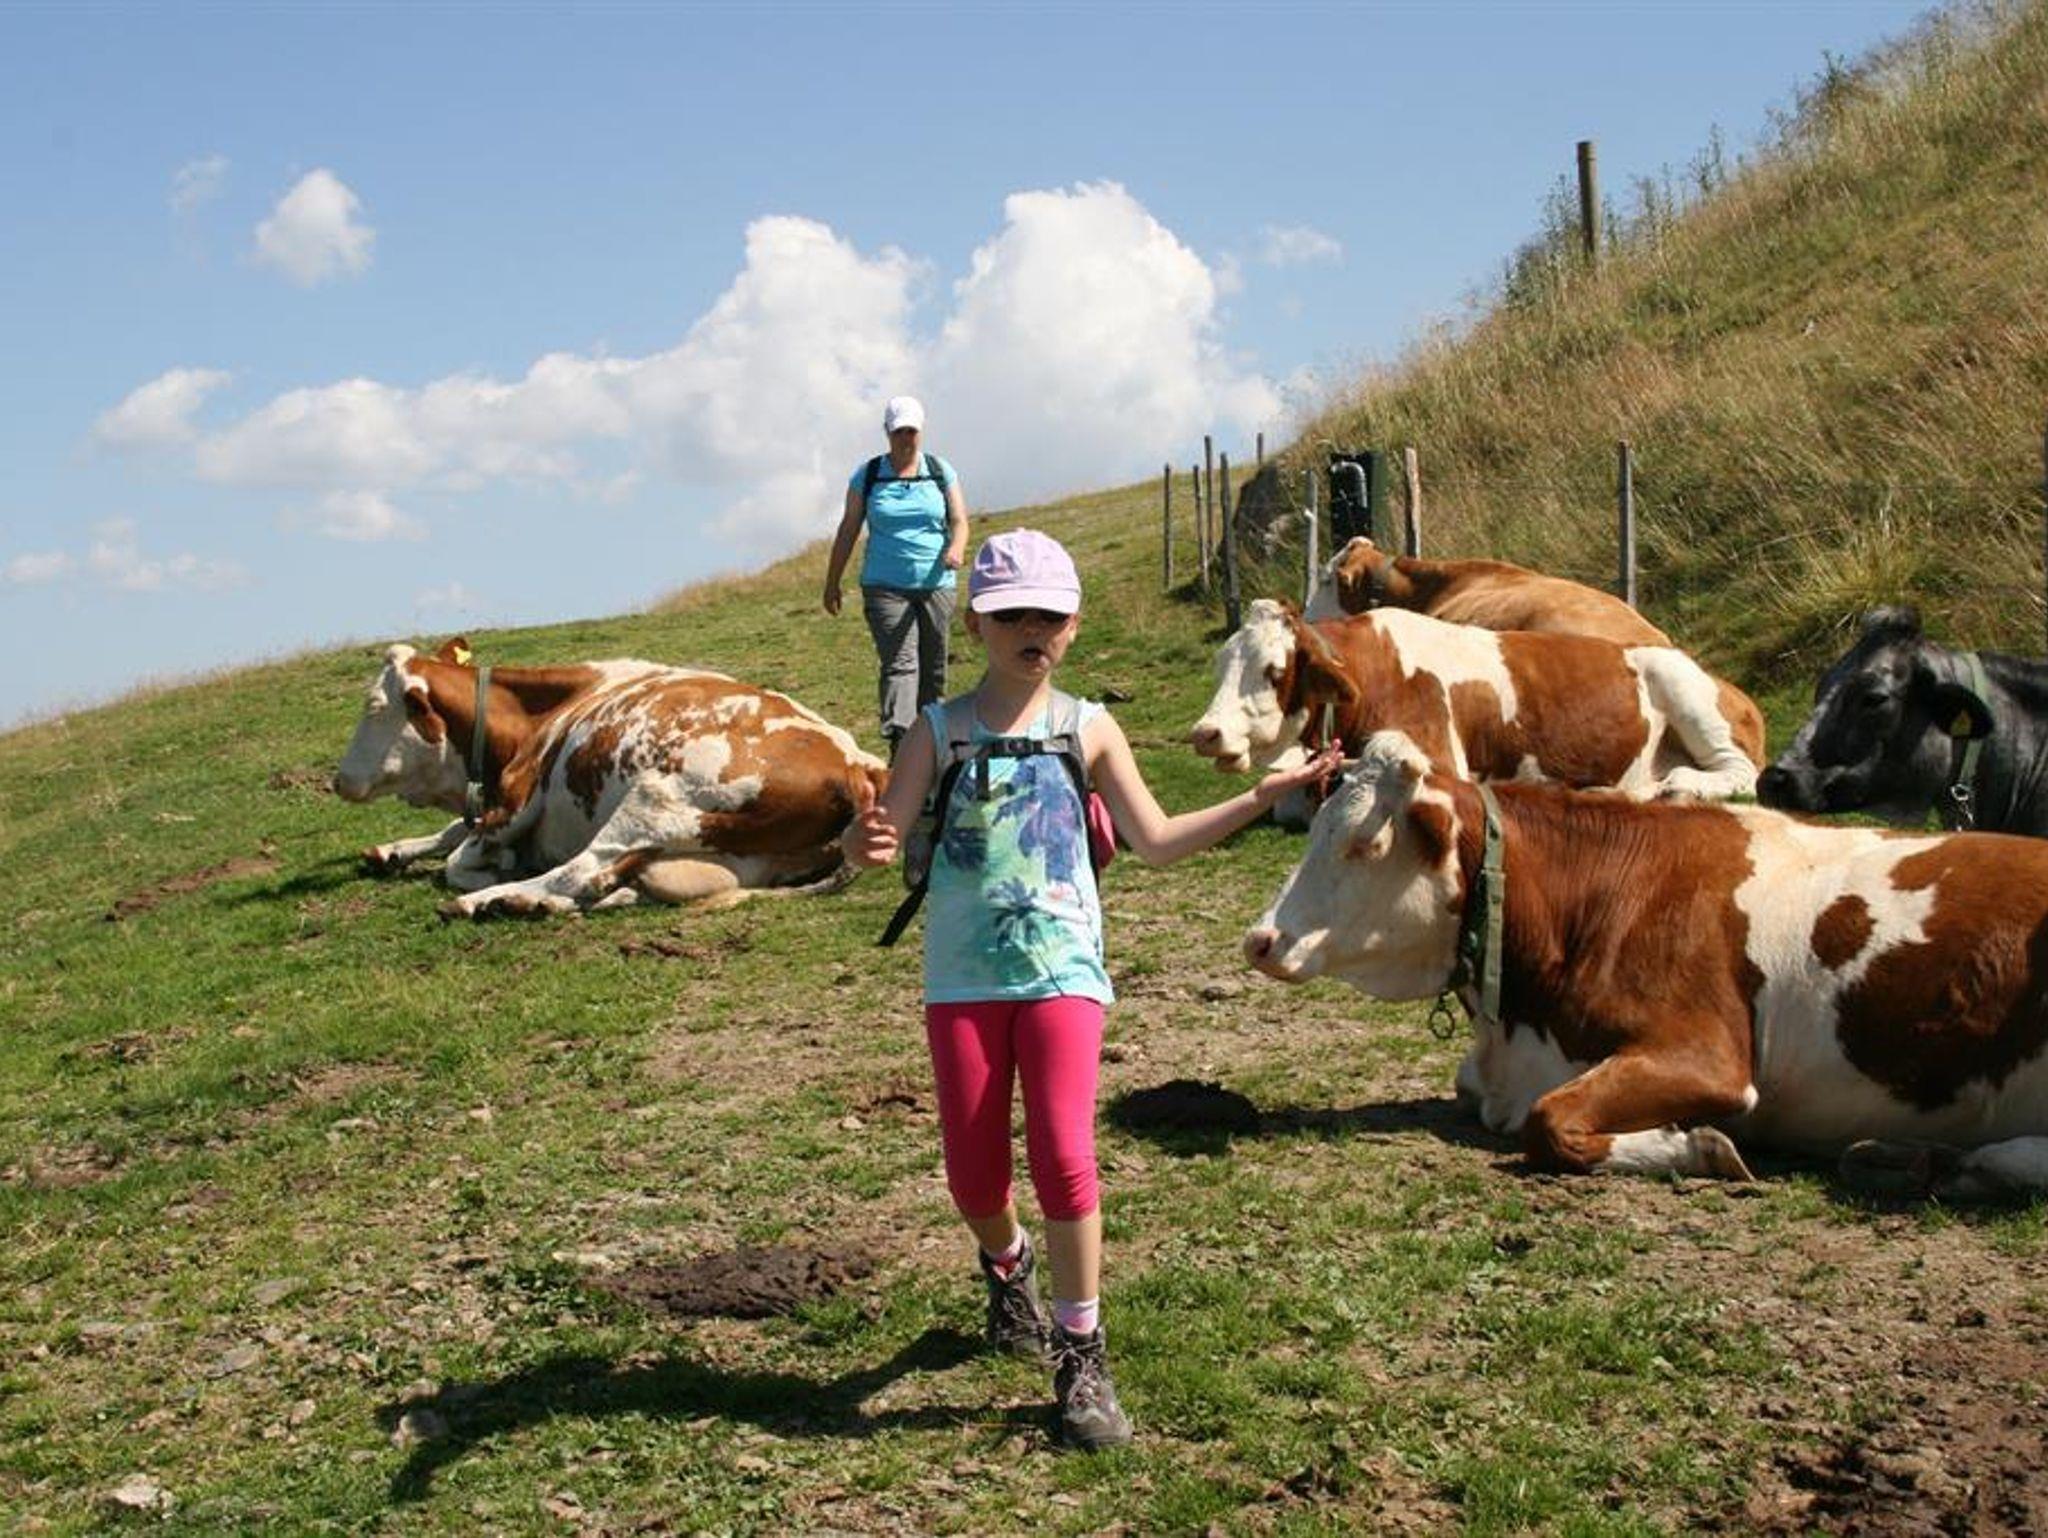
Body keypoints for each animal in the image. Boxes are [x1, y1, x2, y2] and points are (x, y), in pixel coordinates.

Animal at [332, 639, 888, 917]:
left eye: (374, 706)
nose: (337, 781)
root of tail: (858, 765)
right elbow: (453, 832)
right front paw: (392, 850)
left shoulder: (517, 798)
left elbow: (458, 856)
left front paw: (493, 872)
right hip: (734, 858)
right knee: (614, 879)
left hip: (653, 802)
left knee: (582, 869)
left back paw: (495, 901)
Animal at [1190, 598, 1760, 801]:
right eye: (1220, 666)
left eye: (1273, 671)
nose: (1205, 733)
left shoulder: (1439, 756)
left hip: (1688, 696)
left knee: (1740, 774)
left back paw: (1678, 784)